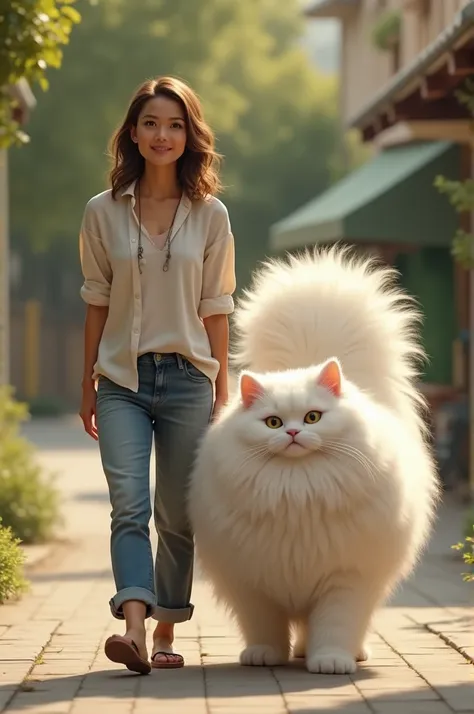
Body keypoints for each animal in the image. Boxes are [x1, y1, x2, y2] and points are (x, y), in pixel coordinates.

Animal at [187, 246, 438, 672]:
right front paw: (263, 655)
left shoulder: (345, 578)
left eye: (313, 417)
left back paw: (346, 653)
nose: (292, 433)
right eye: (273, 422)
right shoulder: (253, 581)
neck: (298, 487)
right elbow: (264, 626)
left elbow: (335, 624)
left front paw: (331, 661)